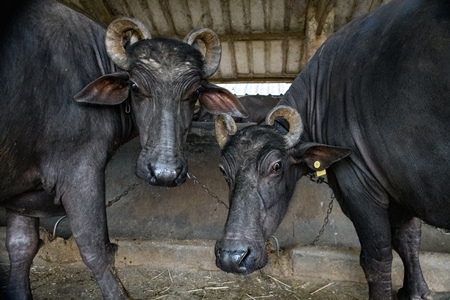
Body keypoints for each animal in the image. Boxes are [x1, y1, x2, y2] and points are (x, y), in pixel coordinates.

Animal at [0, 0, 246, 298]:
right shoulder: (79, 171)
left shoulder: (22, 192)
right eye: (134, 86)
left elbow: (21, 245)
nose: (165, 173)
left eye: (196, 92)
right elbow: (95, 248)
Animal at [213, 0, 448, 298]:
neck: (323, 94)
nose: (232, 256)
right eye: (223, 170)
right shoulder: (403, 189)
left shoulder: (360, 184)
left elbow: (376, 257)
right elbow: (409, 241)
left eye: (276, 166)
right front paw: (415, 290)